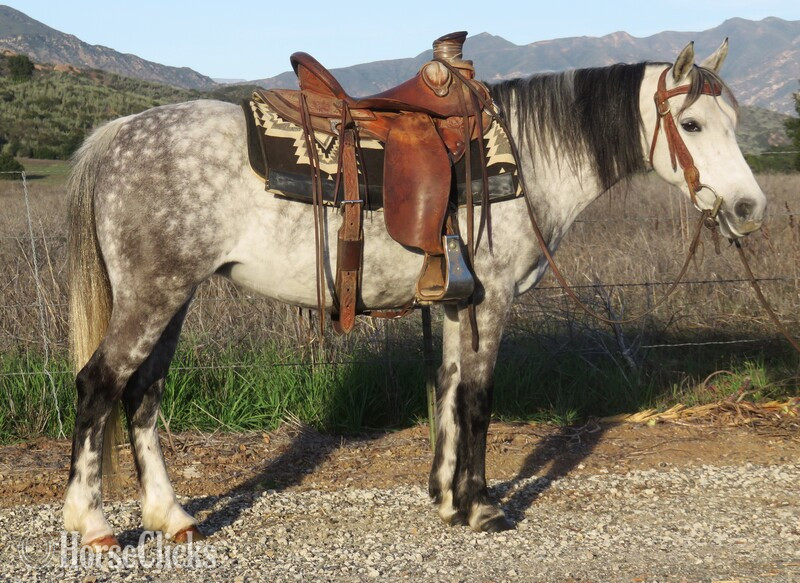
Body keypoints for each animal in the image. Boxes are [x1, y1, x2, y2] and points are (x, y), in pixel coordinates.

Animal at [63, 40, 766, 548]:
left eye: (735, 121)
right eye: (692, 123)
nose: (749, 208)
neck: (525, 160)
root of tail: (119, 132)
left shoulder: (457, 305)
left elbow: (449, 391)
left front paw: (448, 499)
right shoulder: (491, 302)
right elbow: (479, 400)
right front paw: (483, 507)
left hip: (172, 299)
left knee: (142, 391)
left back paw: (171, 516)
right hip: (152, 296)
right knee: (100, 384)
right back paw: (91, 523)